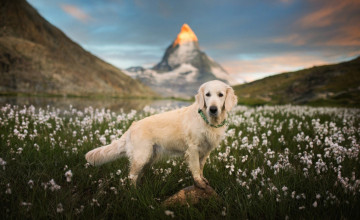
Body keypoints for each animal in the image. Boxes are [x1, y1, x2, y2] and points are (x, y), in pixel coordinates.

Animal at [85, 81, 238, 189]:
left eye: (220, 95)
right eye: (207, 94)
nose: (213, 109)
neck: (207, 121)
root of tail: (132, 126)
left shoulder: (206, 150)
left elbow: (200, 168)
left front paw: (202, 179)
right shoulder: (193, 149)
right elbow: (195, 168)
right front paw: (199, 182)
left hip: (149, 157)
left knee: (139, 175)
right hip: (141, 156)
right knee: (131, 176)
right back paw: (134, 193)